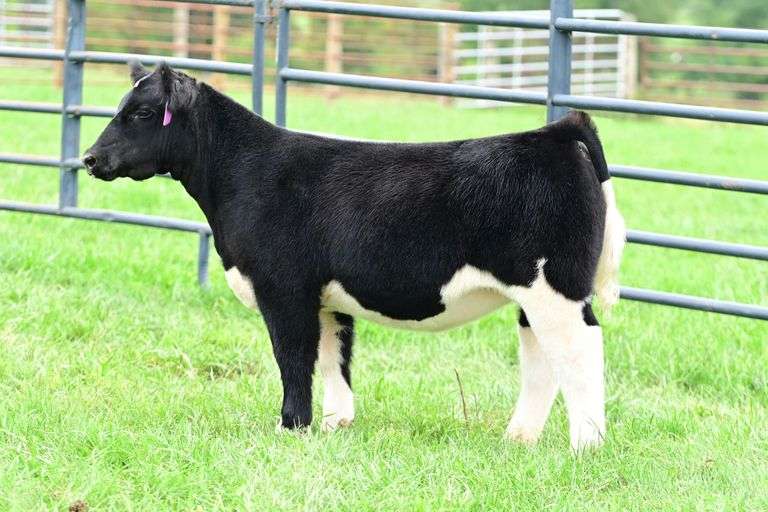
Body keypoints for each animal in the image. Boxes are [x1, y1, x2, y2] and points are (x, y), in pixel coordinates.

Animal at [83, 62, 625, 451]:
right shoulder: (323, 295)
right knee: (541, 357)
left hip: (554, 287)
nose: (90, 158)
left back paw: (586, 445)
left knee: (579, 349)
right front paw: (335, 423)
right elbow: (332, 354)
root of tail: (557, 130)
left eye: (141, 113)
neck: (242, 172)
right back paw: (519, 438)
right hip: (532, 295)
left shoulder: (283, 287)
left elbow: (293, 356)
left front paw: (291, 427)